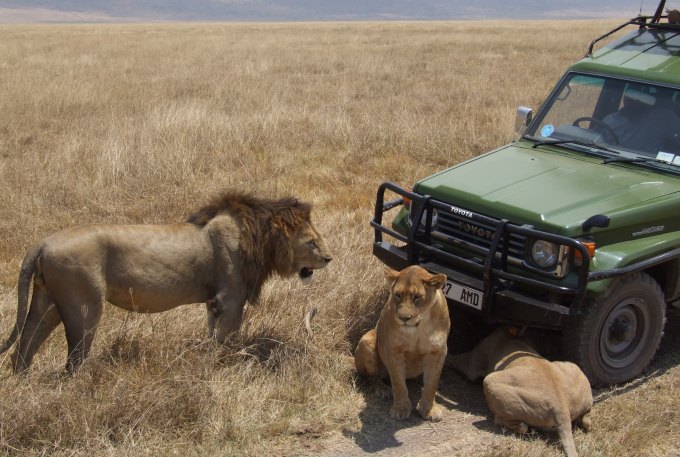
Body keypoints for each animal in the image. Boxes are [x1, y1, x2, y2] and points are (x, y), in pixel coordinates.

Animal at [0, 191, 332, 372]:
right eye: (312, 242)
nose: (329, 258)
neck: (259, 238)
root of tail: (42, 243)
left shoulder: (213, 301)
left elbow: (212, 333)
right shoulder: (230, 298)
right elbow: (228, 338)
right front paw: (229, 364)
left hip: (47, 302)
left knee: (23, 349)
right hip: (83, 305)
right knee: (74, 359)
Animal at [354, 266, 448, 422]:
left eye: (417, 297)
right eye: (397, 295)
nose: (404, 318)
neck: (419, 328)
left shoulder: (438, 351)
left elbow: (431, 384)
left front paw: (429, 410)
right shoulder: (393, 350)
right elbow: (398, 383)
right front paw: (401, 409)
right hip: (366, 340)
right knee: (372, 378)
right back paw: (383, 390)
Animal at [448, 328, 592, 456]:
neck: (511, 336)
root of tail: (561, 406)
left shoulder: (472, 364)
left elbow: (455, 360)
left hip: (491, 381)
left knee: (517, 425)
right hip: (574, 368)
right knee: (587, 421)